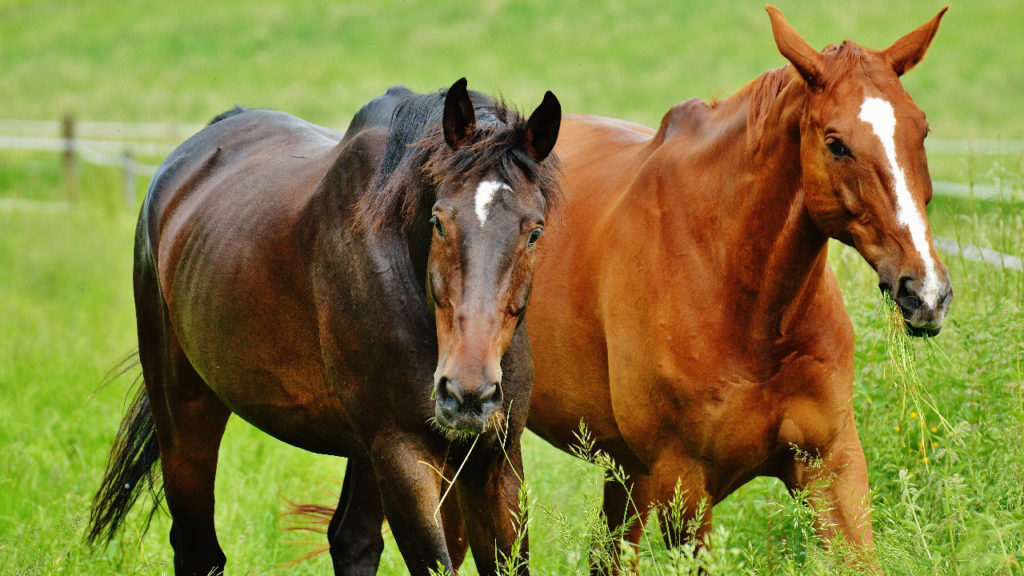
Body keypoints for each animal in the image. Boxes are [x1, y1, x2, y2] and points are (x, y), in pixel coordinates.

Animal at [89, 77, 565, 573]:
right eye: (438, 221)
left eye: (535, 231)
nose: (467, 394)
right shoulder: (403, 454)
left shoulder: (494, 458)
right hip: (185, 414)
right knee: (199, 549)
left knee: (352, 540)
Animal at [524, 4, 954, 569]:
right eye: (836, 144)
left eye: (922, 131)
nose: (925, 293)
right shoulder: (683, 487)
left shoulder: (832, 465)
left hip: (627, 473)